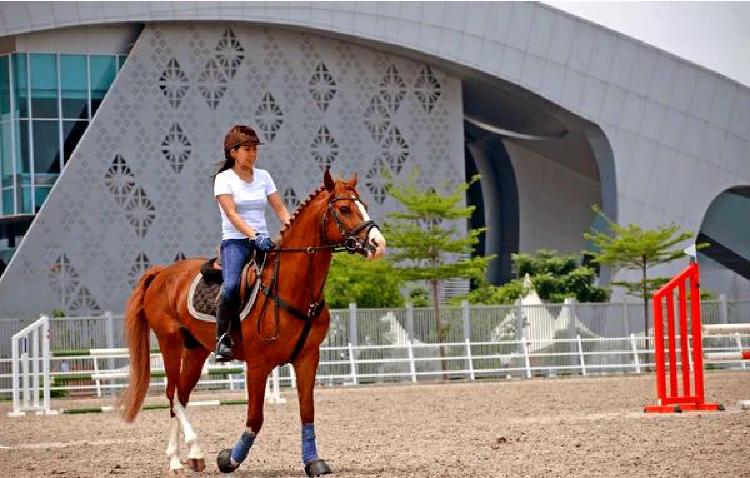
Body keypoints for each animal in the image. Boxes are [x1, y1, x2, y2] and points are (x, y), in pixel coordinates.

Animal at [119, 170, 388, 476]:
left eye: (364, 205)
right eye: (344, 209)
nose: (378, 244)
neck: (291, 289)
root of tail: (164, 272)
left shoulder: (308, 358)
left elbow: (307, 411)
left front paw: (313, 461)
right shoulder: (258, 365)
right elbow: (255, 418)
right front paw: (229, 458)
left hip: (196, 351)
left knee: (182, 396)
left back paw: (191, 457)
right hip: (170, 344)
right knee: (172, 395)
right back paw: (180, 457)